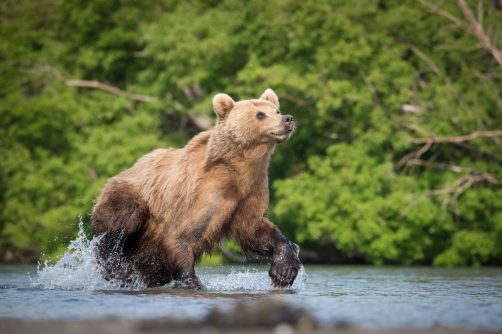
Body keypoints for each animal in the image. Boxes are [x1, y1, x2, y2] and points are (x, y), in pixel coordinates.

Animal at [90, 89, 302, 290]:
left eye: (276, 110)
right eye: (260, 114)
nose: (288, 118)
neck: (236, 170)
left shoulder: (251, 191)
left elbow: (255, 229)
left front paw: (283, 272)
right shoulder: (197, 195)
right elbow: (183, 237)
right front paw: (191, 282)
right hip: (130, 196)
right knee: (121, 223)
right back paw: (118, 272)